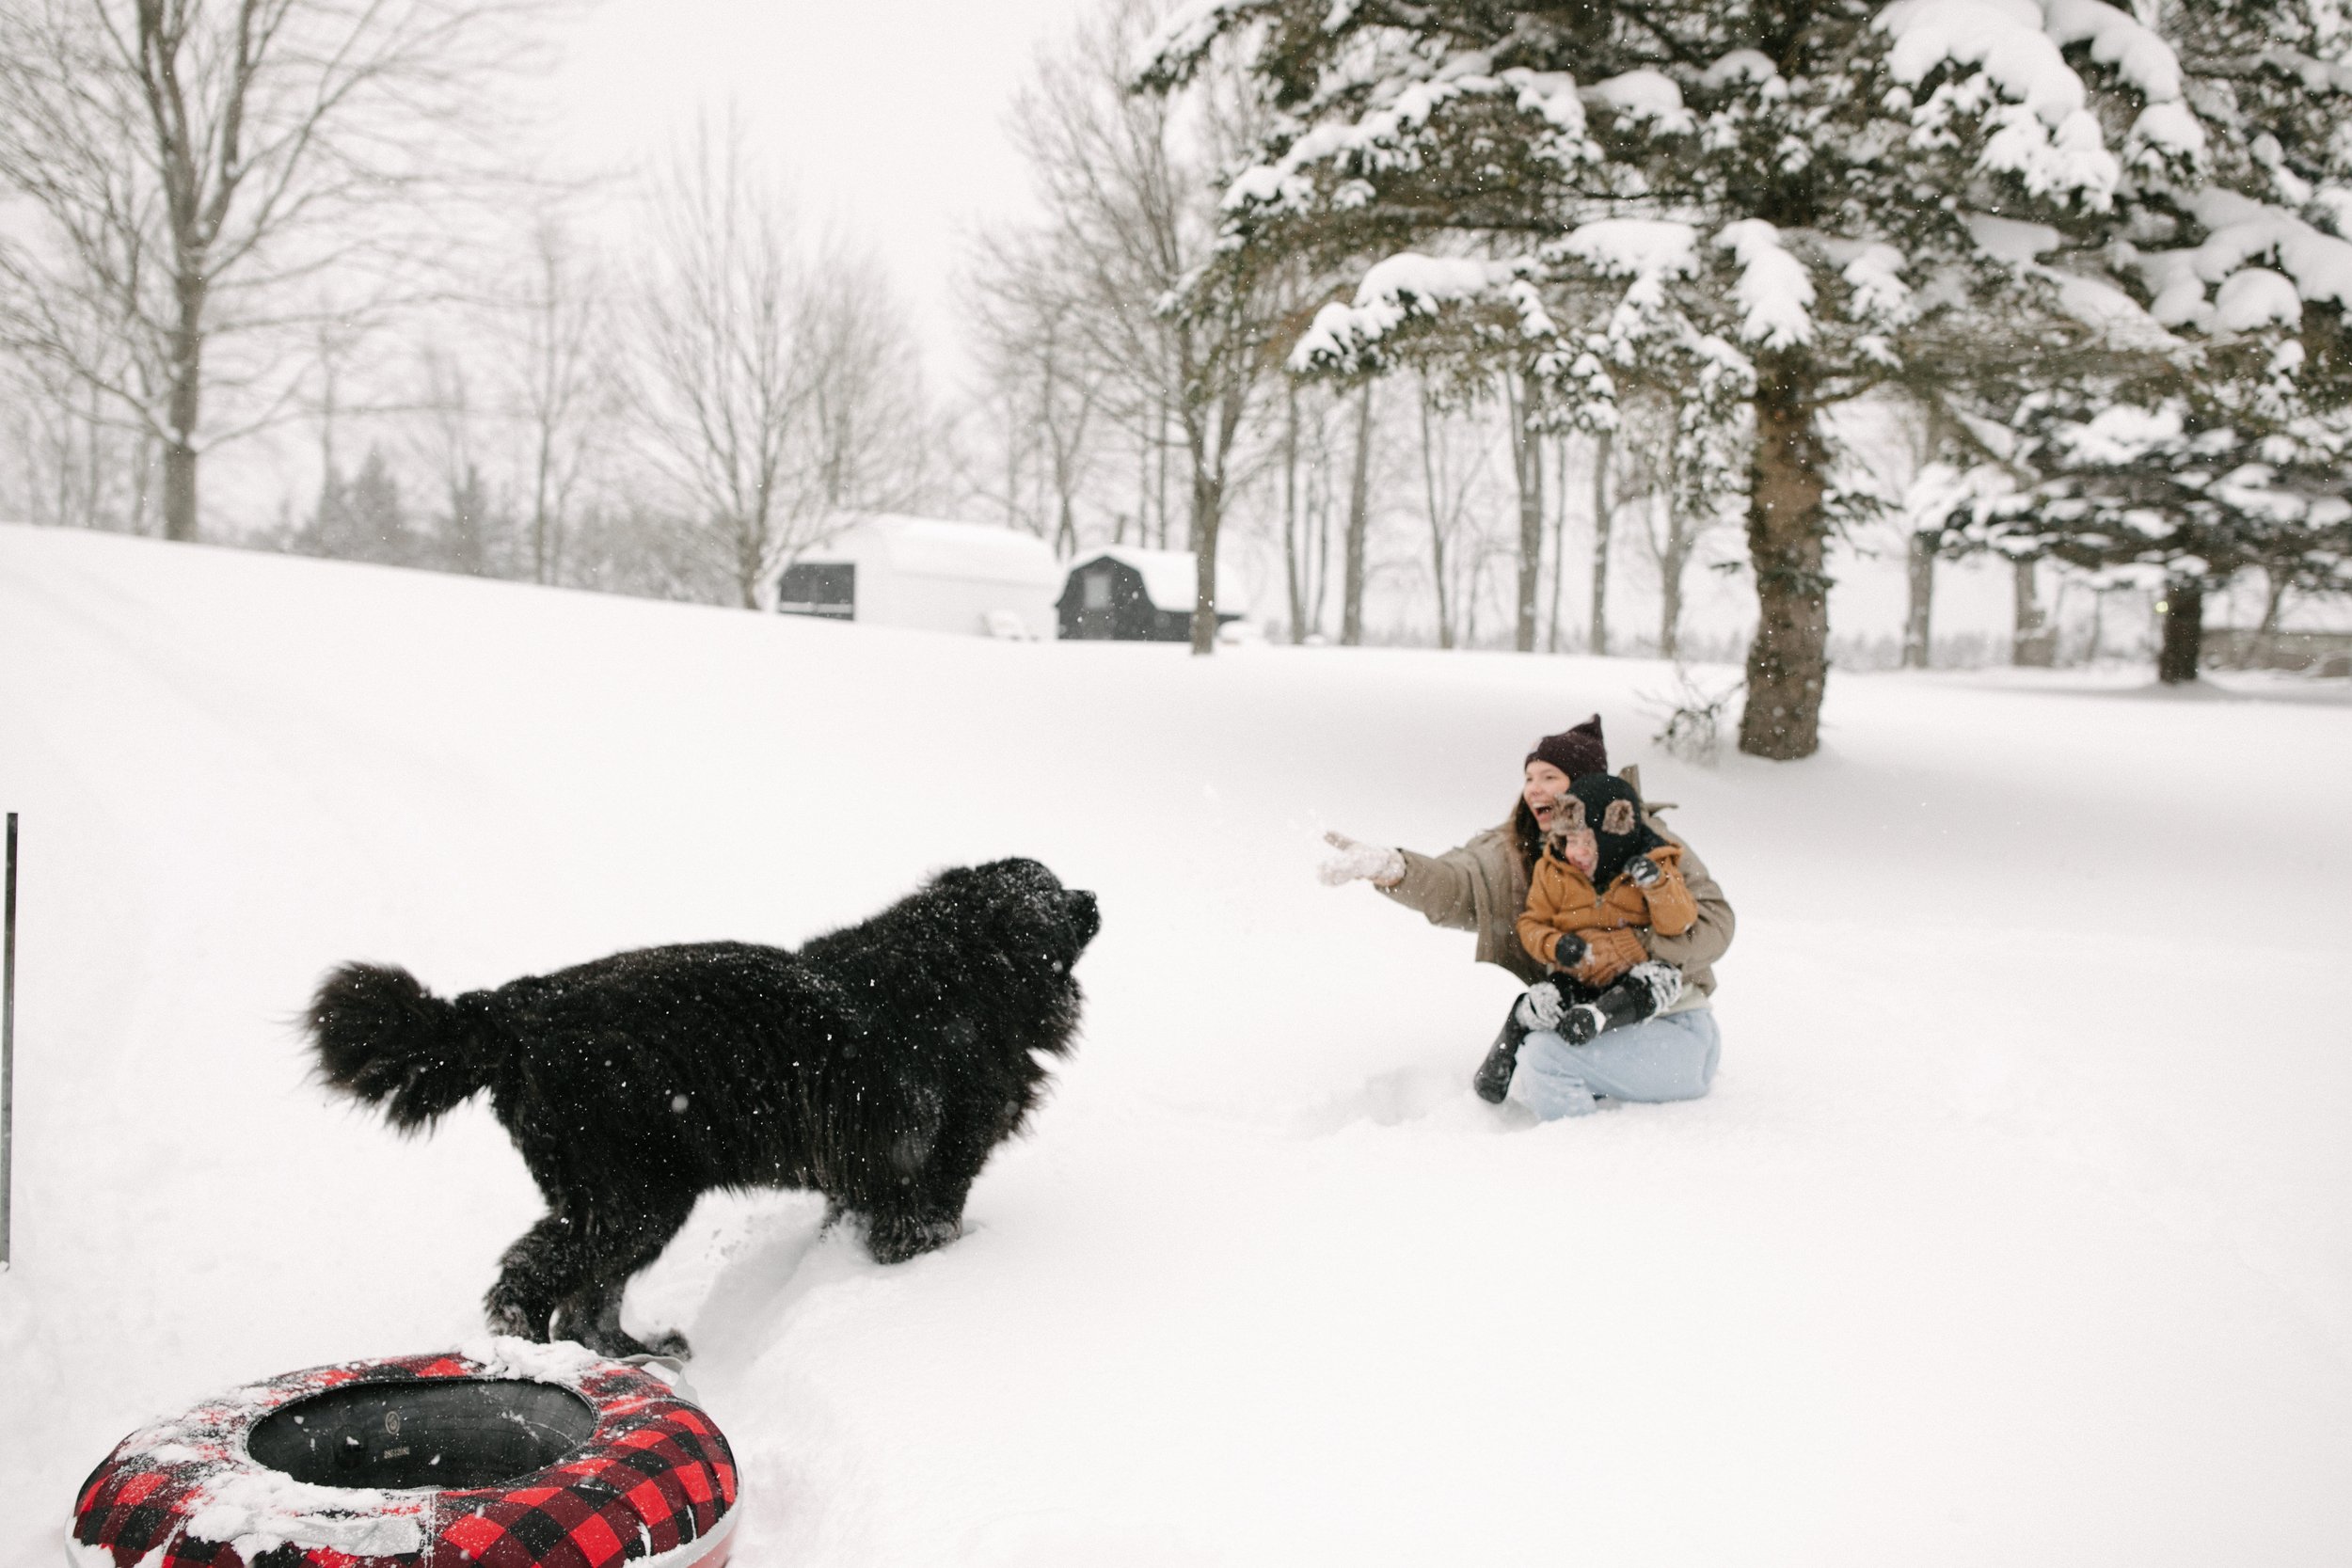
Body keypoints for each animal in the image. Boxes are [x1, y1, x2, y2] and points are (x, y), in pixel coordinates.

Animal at [303, 860, 1101, 1363]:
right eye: (1053, 892)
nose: (1094, 897)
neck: (959, 972)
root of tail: (514, 1009)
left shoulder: (864, 1179)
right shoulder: (926, 1171)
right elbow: (929, 1231)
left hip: (626, 1199)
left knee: (588, 1301)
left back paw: (635, 1356)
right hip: (630, 1196)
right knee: (529, 1282)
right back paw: (543, 1359)